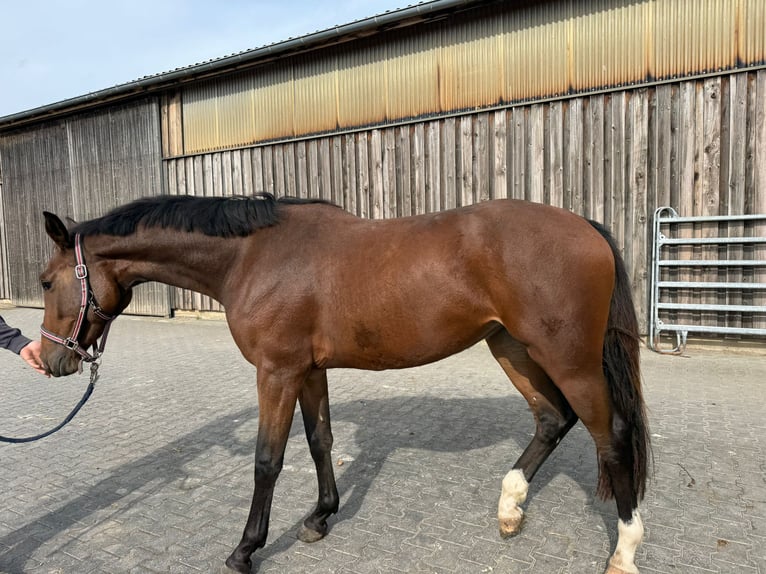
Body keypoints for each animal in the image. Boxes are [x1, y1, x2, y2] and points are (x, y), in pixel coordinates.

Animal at [40, 195, 656, 574]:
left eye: (46, 281)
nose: (51, 360)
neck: (251, 255)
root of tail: (585, 227)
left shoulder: (277, 371)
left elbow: (267, 460)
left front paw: (245, 549)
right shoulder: (309, 370)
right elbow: (320, 442)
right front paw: (320, 518)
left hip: (567, 358)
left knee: (612, 435)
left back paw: (624, 551)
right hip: (511, 346)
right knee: (553, 418)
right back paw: (510, 508)